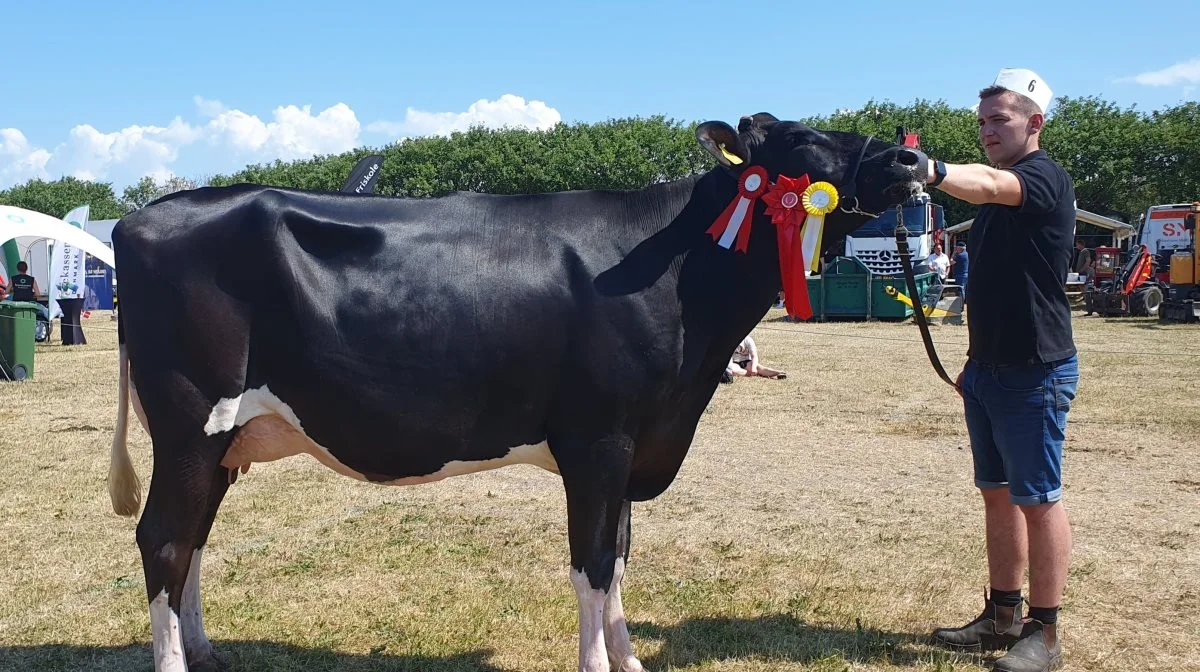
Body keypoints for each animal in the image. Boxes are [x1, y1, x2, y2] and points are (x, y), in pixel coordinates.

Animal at [108, 112, 926, 667]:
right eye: (807, 142)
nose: (911, 156)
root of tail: (144, 216)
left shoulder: (636, 443)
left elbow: (620, 557)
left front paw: (629, 660)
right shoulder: (599, 439)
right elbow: (591, 564)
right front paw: (598, 664)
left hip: (223, 439)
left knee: (193, 538)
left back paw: (206, 650)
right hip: (190, 419)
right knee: (163, 538)